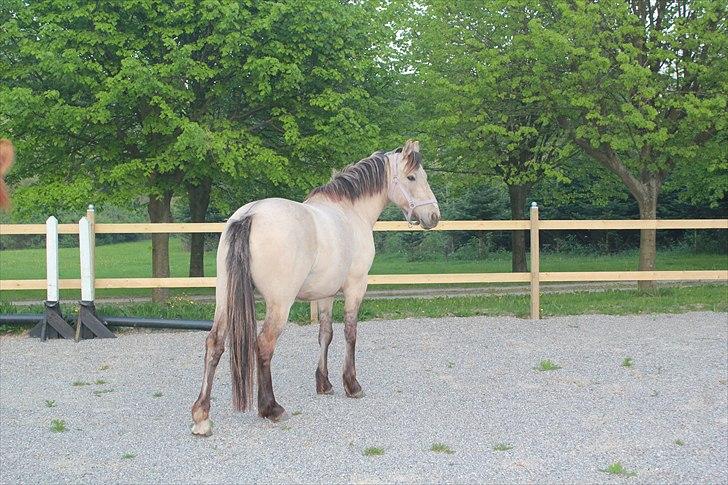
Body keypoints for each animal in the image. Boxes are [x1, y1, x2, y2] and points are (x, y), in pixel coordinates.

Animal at [192, 139, 438, 434]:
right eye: (412, 177)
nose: (434, 215)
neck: (350, 212)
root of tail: (249, 215)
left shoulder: (326, 294)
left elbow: (325, 334)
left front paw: (324, 383)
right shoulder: (356, 287)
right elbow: (350, 333)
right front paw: (352, 385)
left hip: (225, 298)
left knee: (214, 343)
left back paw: (202, 416)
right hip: (279, 303)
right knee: (264, 344)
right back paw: (271, 408)